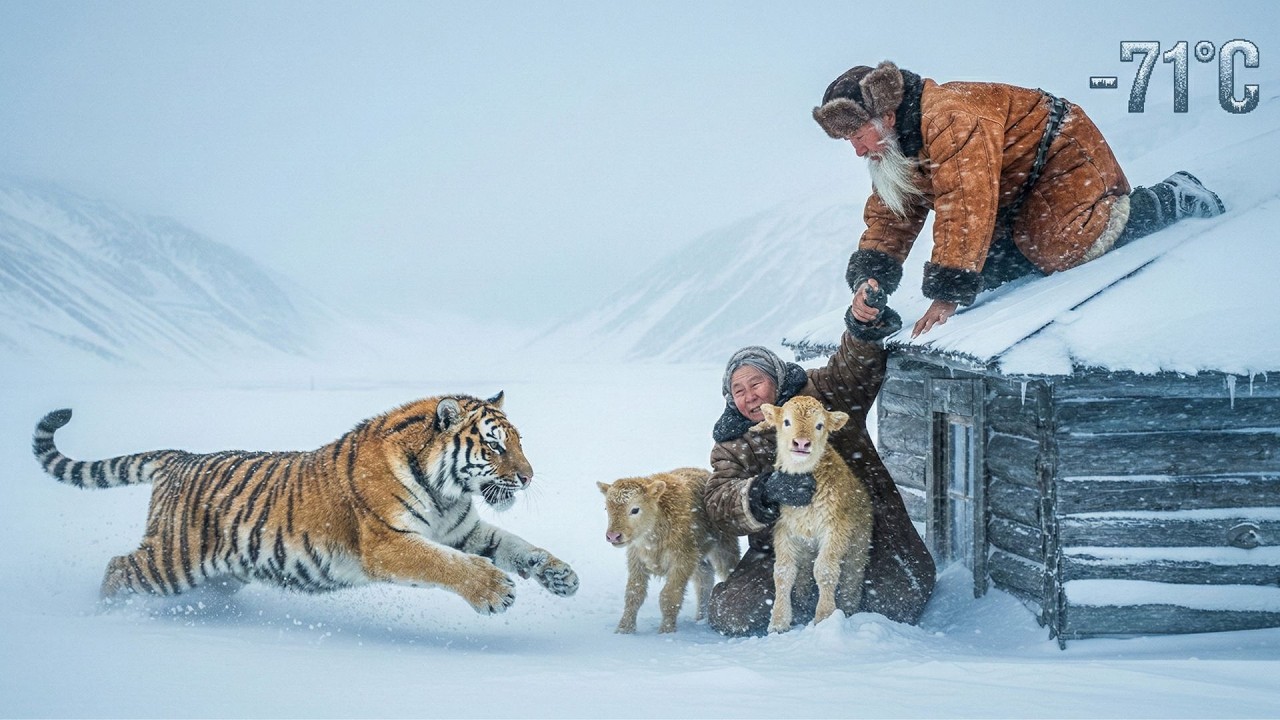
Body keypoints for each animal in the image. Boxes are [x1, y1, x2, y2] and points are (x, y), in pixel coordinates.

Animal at [30, 392, 579, 614]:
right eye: (495, 446)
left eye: (520, 442)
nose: (528, 478)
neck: (447, 492)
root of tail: (180, 458)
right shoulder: (389, 543)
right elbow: (446, 565)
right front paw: (494, 591)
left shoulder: (465, 530)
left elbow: (516, 545)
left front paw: (561, 576)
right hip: (172, 561)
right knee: (119, 566)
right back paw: (103, 613)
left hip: (223, 573)